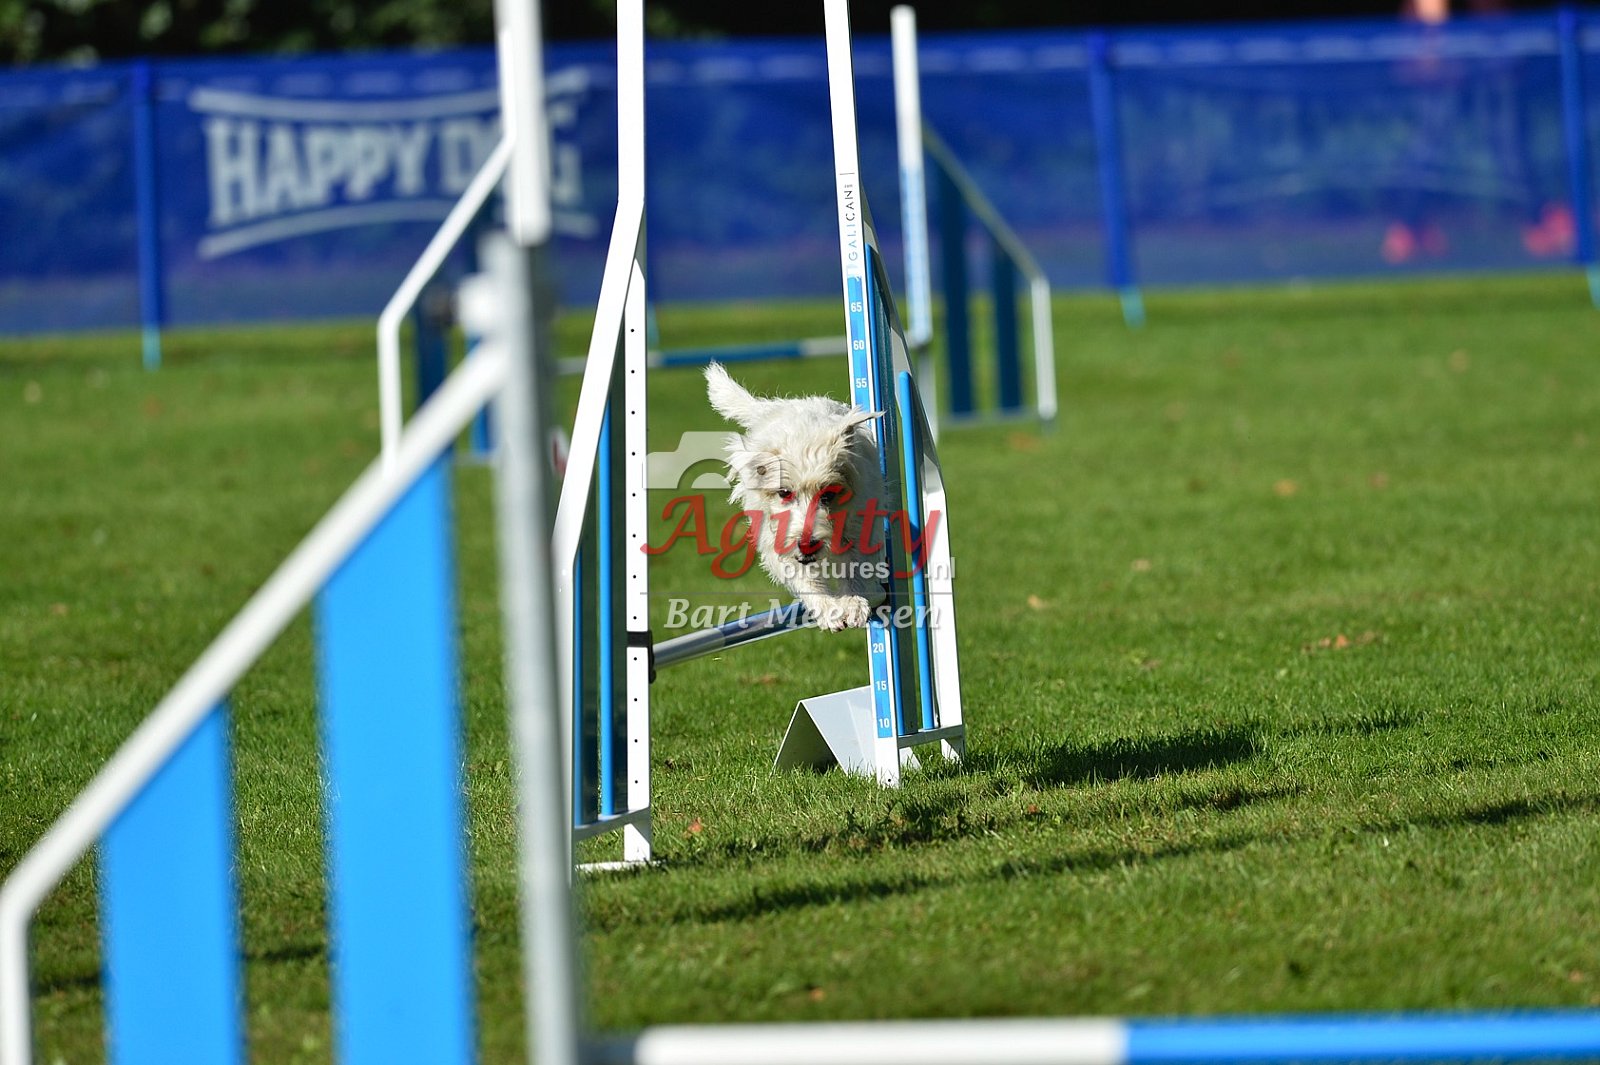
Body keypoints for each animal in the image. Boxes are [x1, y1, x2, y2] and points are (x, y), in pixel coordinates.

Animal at [705, 362, 886, 630]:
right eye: (784, 492)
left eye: (828, 494)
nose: (807, 544)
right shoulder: (776, 537)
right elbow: (800, 574)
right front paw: (829, 608)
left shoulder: (860, 520)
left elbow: (856, 565)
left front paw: (853, 602)